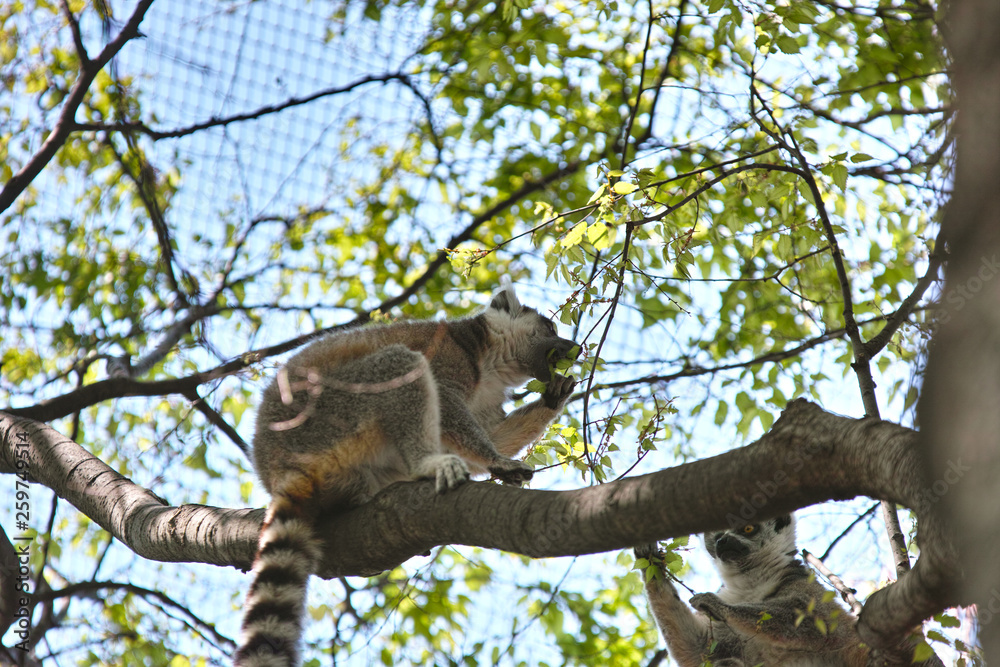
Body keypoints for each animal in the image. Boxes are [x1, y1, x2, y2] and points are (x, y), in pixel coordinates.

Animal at [234, 281, 579, 667]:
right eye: (550, 328)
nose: (577, 348)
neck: (489, 362)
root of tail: (276, 466)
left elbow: (485, 439)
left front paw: (554, 398)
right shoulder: (450, 357)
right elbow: (448, 406)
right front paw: (500, 462)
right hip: (329, 416)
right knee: (403, 363)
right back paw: (427, 465)